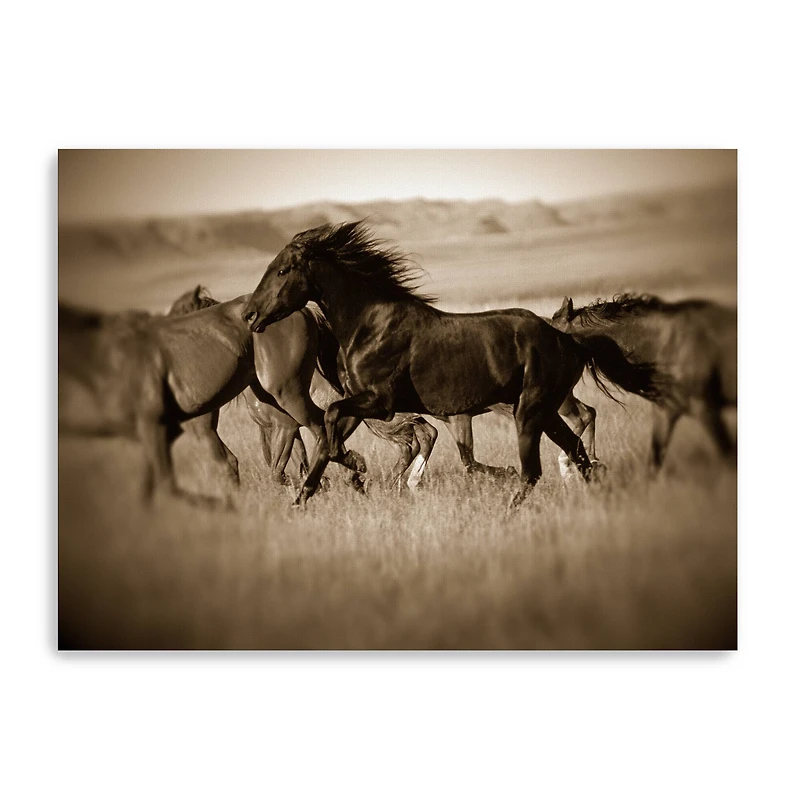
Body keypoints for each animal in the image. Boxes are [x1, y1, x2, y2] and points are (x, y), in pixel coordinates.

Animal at [242, 221, 665, 507]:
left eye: (282, 270)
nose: (250, 315)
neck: (370, 324)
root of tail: (568, 339)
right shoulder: (362, 404)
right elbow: (326, 437)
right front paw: (308, 495)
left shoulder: (380, 403)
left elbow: (330, 421)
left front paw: (356, 471)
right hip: (545, 410)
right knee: (577, 451)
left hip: (530, 410)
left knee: (536, 470)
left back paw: (507, 515)